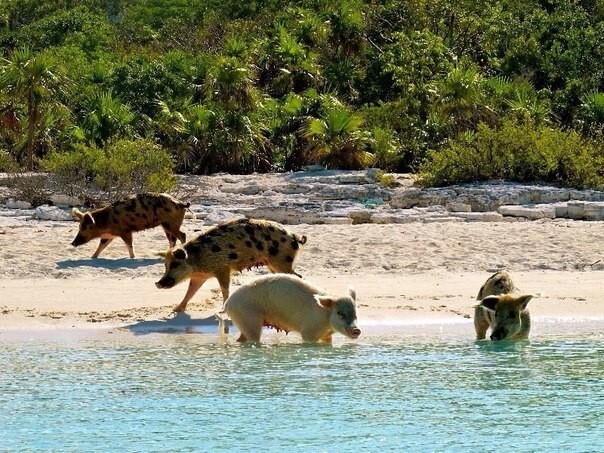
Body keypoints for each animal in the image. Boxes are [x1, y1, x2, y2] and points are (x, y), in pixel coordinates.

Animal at [156, 218, 306, 310]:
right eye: (165, 265)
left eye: (175, 264)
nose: (158, 283)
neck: (197, 261)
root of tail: (294, 236)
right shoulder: (199, 277)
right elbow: (190, 292)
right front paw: (176, 309)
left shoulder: (222, 268)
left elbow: (225, 289)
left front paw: (223, 308)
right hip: (273, 264)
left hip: (282, 260)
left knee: (297, 277)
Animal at [222, 272, 364, 342]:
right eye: (340, 313)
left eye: (355, 314)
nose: (356, 330)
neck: (325, 317)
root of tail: (227, 303)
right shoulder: (308, 330)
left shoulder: (326, 335)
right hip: (248, 318)